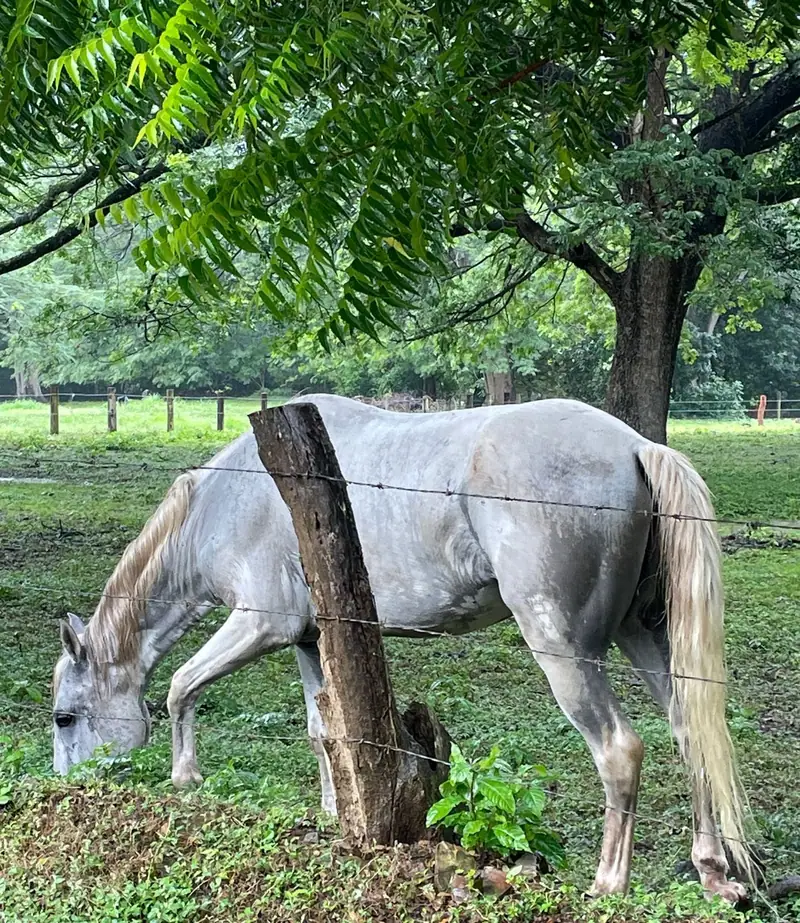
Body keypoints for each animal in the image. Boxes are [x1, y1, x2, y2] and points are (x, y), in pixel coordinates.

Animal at [52, 395, 750, 901]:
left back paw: (609, 883)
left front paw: (185, 777)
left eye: (64, 718)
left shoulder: (258, 625)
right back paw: (712, 870)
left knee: (619, 751)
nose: (68, 783)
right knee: (690, 733)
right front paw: (334, 813)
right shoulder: (311, 640)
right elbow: (320, 731)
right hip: (643, 637)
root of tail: (635, 445)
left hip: (566, 651)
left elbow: (180, 687)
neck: (233, 495)